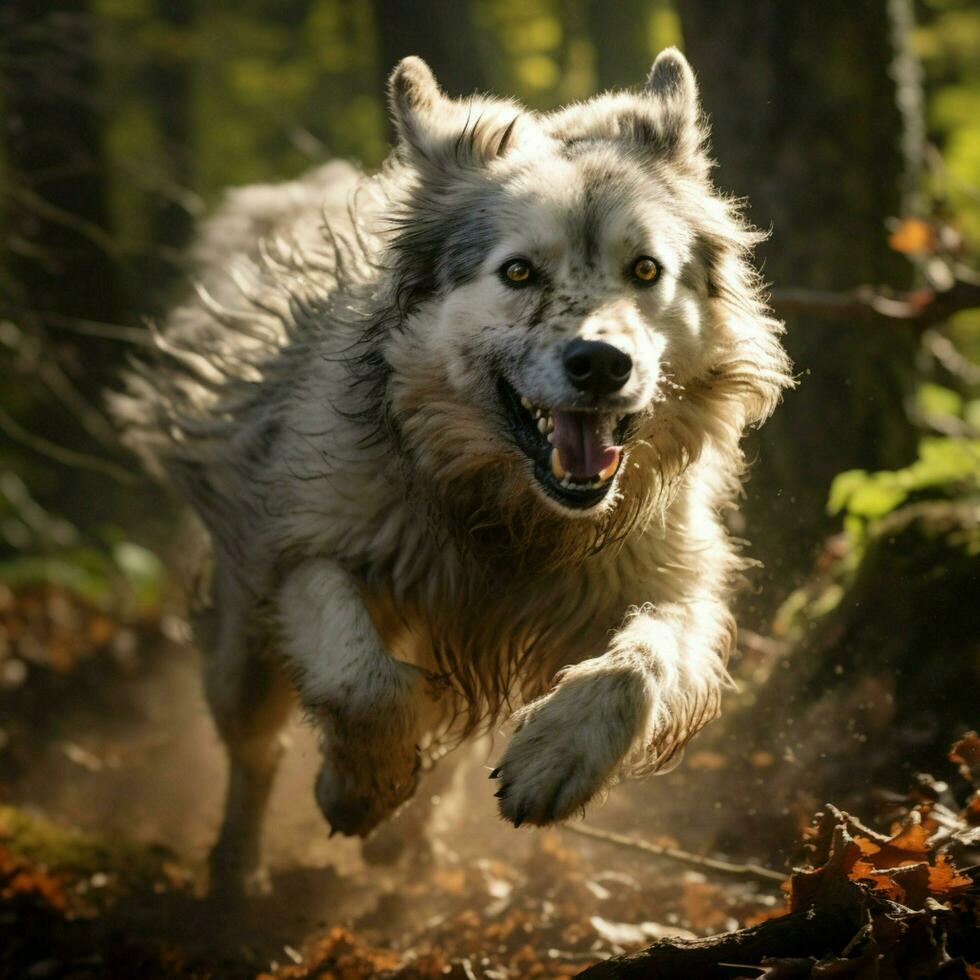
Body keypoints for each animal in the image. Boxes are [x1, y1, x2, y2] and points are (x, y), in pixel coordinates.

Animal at [111, 49, 792, 900]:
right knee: (256, 750)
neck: (510, 517)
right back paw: (238, 871)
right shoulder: (300, 553)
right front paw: (358, 788)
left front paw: (554, 759)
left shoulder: (671, 584)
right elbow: (363, 681)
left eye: (644, 269)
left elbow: (638, 667)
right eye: (519, 273)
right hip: (243, 648)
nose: (602, 363)